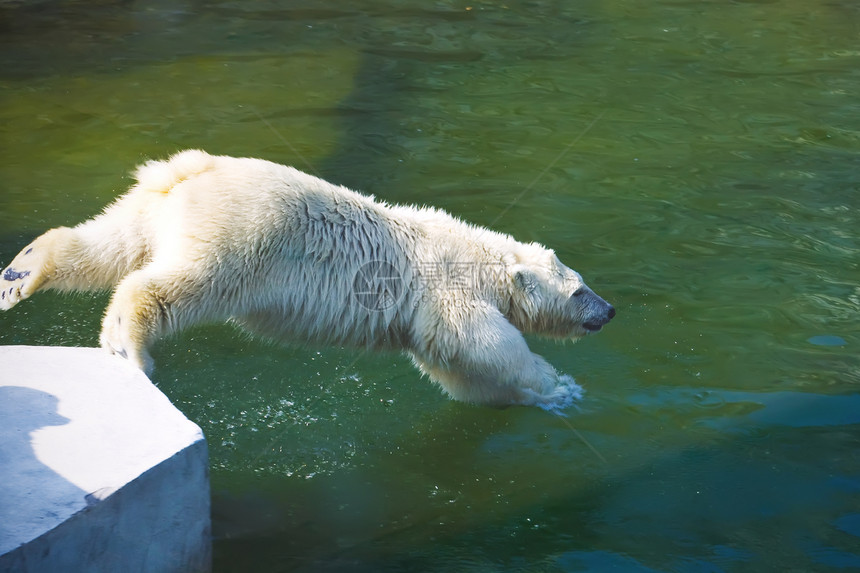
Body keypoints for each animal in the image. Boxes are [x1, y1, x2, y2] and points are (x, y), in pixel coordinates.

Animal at [1, 149, 620, 406]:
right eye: (580, 290)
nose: (610, 311)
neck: (480, 257)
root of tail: (189, 170)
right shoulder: (446, 292)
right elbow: (486, 345)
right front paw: (559, 387)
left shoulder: (427, 320)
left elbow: (462, 371)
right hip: (241, 239)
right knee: (173, 284)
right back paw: (130, 345)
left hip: (157, 207)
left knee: (110, 242)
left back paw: (22, 269)